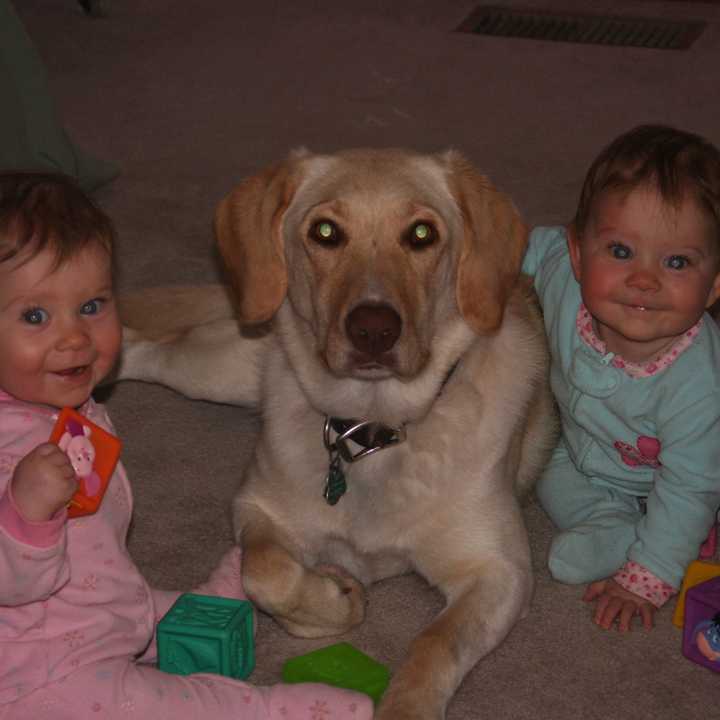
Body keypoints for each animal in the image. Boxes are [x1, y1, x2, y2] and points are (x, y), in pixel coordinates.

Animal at [116, 148, 556, 720]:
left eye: (422, 234)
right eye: (325, 231)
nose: (374, 330)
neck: (372, 430)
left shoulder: (501, 573)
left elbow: (435, 642)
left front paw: (405, 705)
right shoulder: (257, 507)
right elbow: (266, 573)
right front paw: (334, 599)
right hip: (217, 369)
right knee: (139, 344)